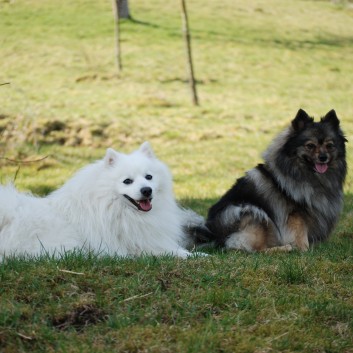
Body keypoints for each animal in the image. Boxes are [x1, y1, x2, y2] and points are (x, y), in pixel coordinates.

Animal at [0, 142, 204, 260]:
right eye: (127, 181)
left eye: (149, 177)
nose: (146, 190)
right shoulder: (137, 247)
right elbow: (177, 253)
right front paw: (201, 256)